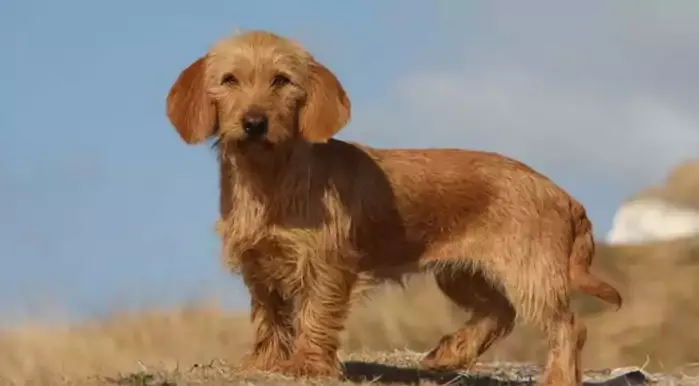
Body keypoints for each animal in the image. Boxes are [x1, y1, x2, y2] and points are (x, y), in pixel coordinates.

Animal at [165, 30, 624, 386]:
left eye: (281, 80)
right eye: (229, 80)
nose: (254, 122)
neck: (270, 178)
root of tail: (563, 194)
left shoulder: (327, 265)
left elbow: (315, 314)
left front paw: (307, 364)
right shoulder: (259, 265)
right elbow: (270, 316)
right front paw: (266, 361)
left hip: (530, 273)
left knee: (568, 326)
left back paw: (557, 376)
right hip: (461, 274)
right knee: (500, 313)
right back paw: (450, 353)